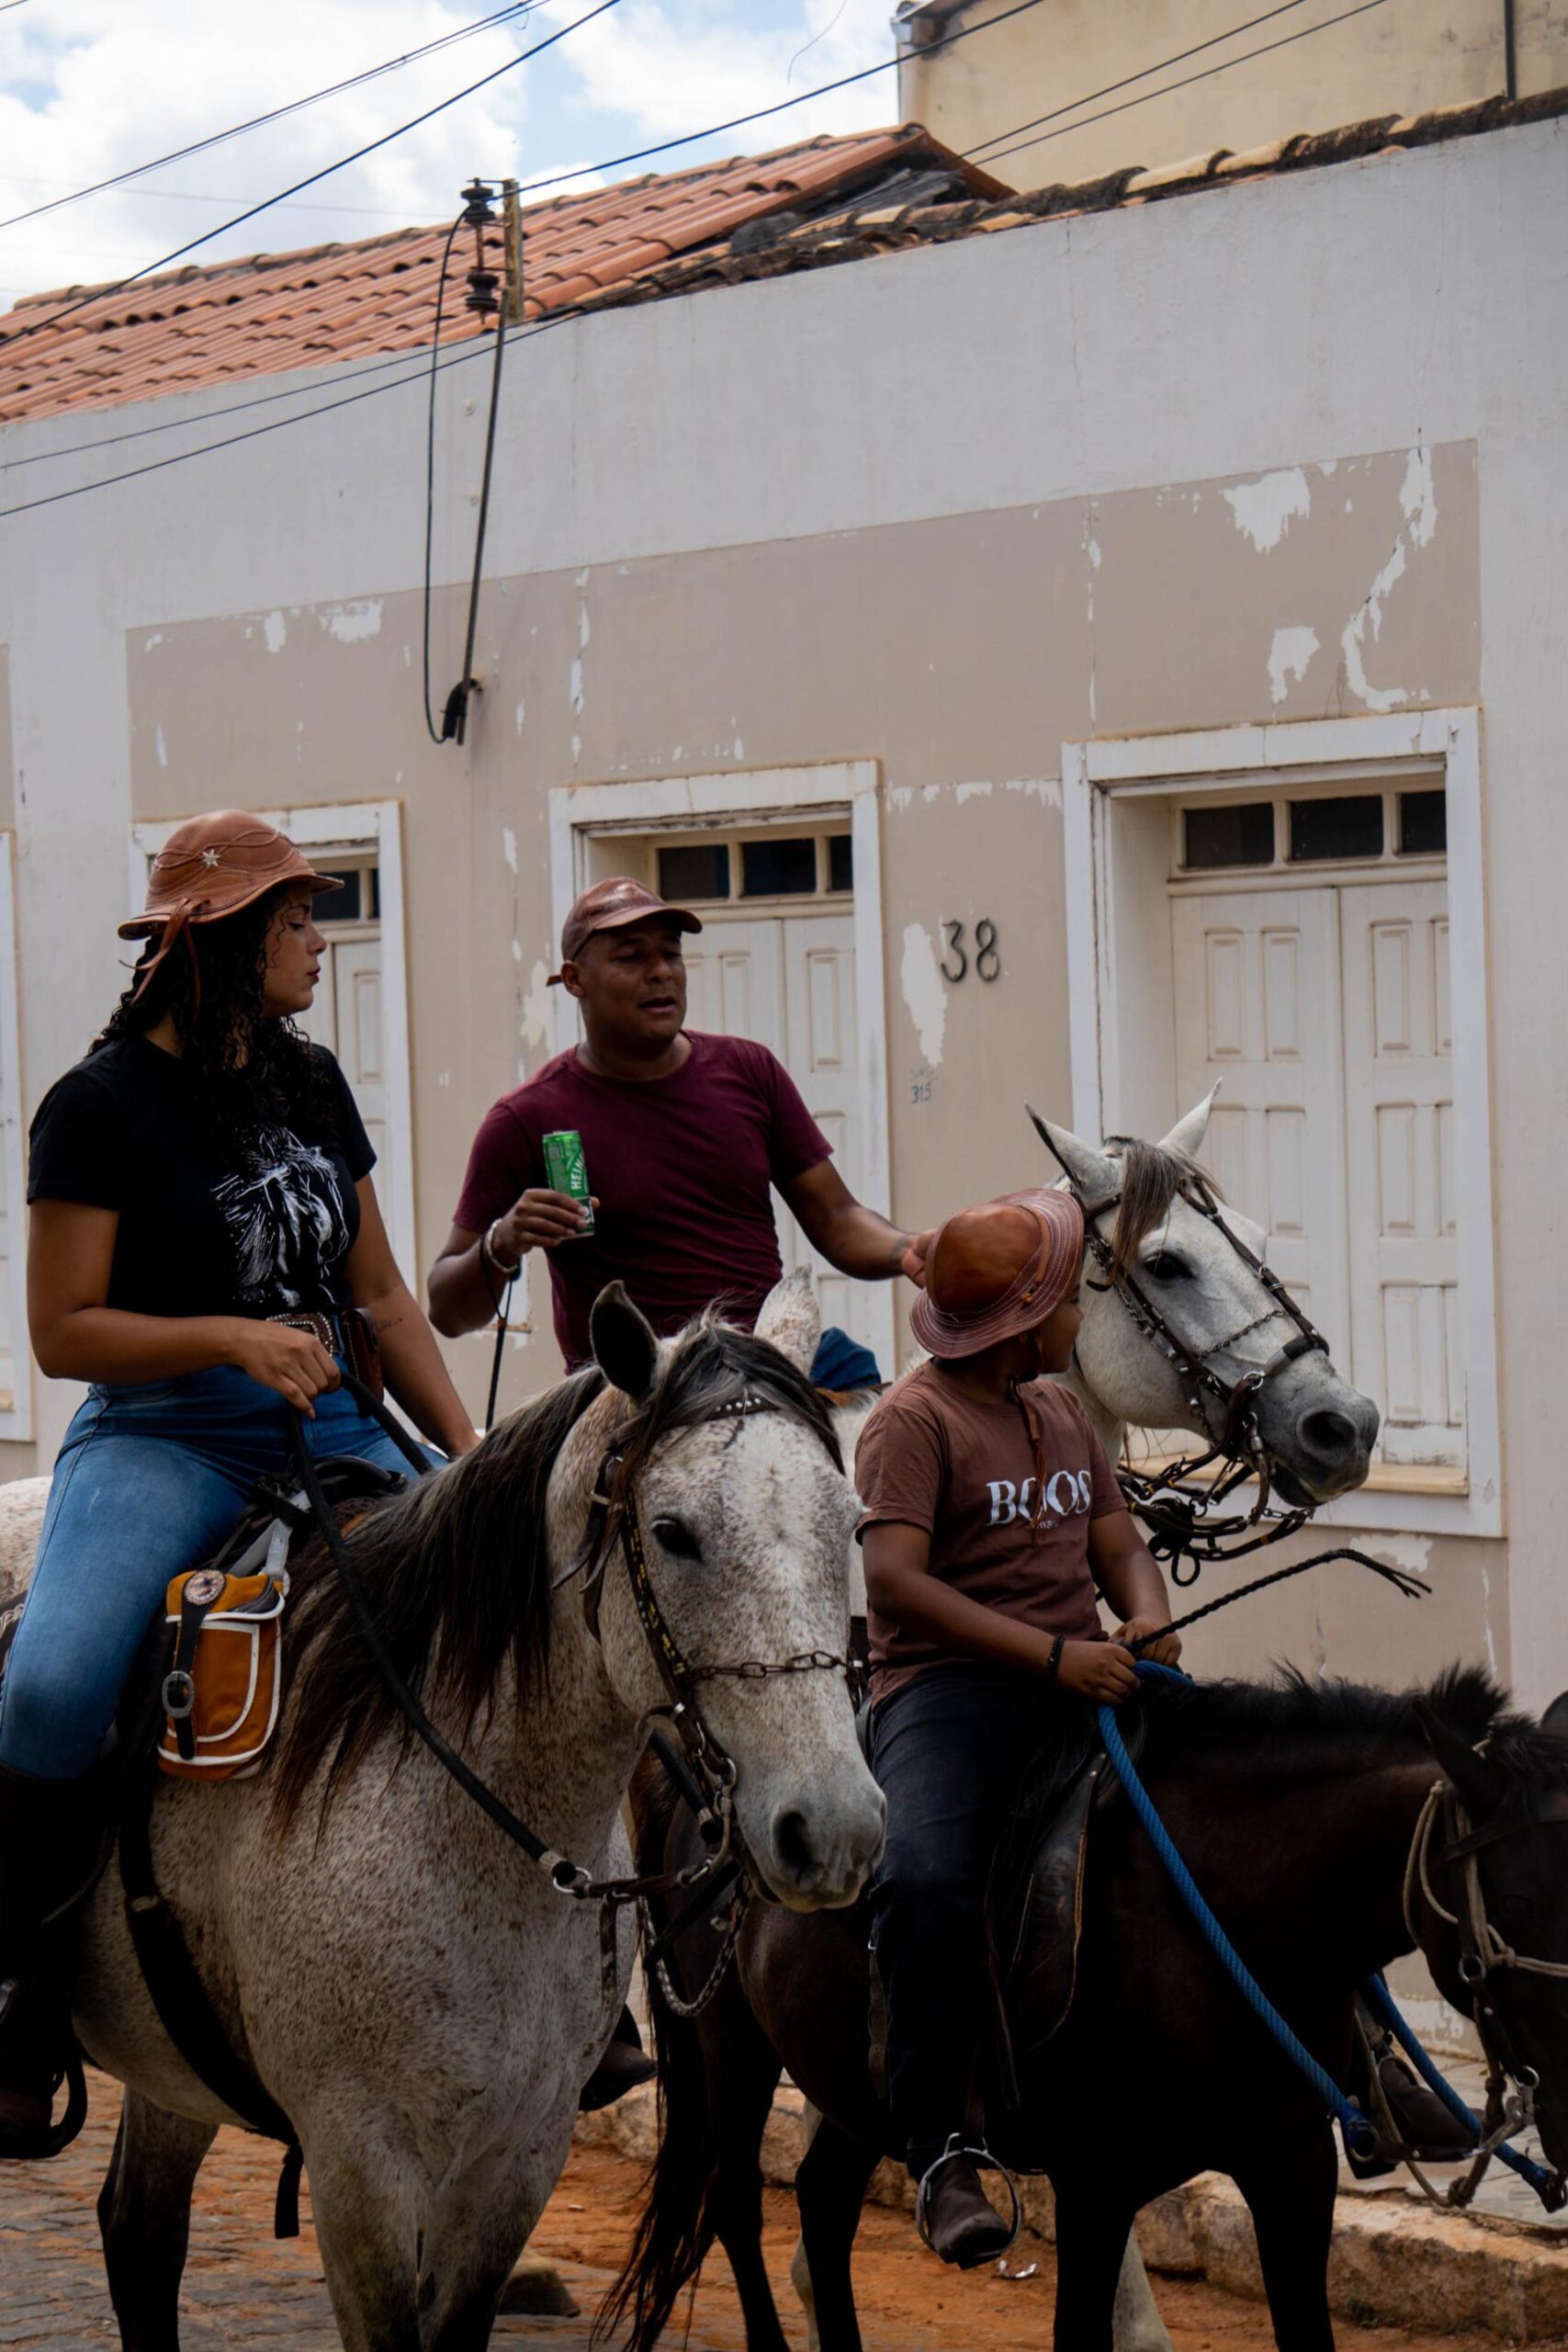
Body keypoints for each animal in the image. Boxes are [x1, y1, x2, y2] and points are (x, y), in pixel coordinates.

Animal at [0, 1273, 886, 2351]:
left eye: (850, 1522)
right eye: (673, 1532)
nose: (834, 1828)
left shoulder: (519, 2152)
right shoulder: (360, 2167)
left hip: (175, 2067)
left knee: (138, 2234)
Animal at [618, 1663, 1568, 2352]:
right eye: (1517, 1910)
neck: (1218, 1918)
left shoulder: (1291, 2167)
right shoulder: (1096, 2187)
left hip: (858, 2088)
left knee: (820, 2204)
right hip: (733, 2050)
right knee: (736, 2202)